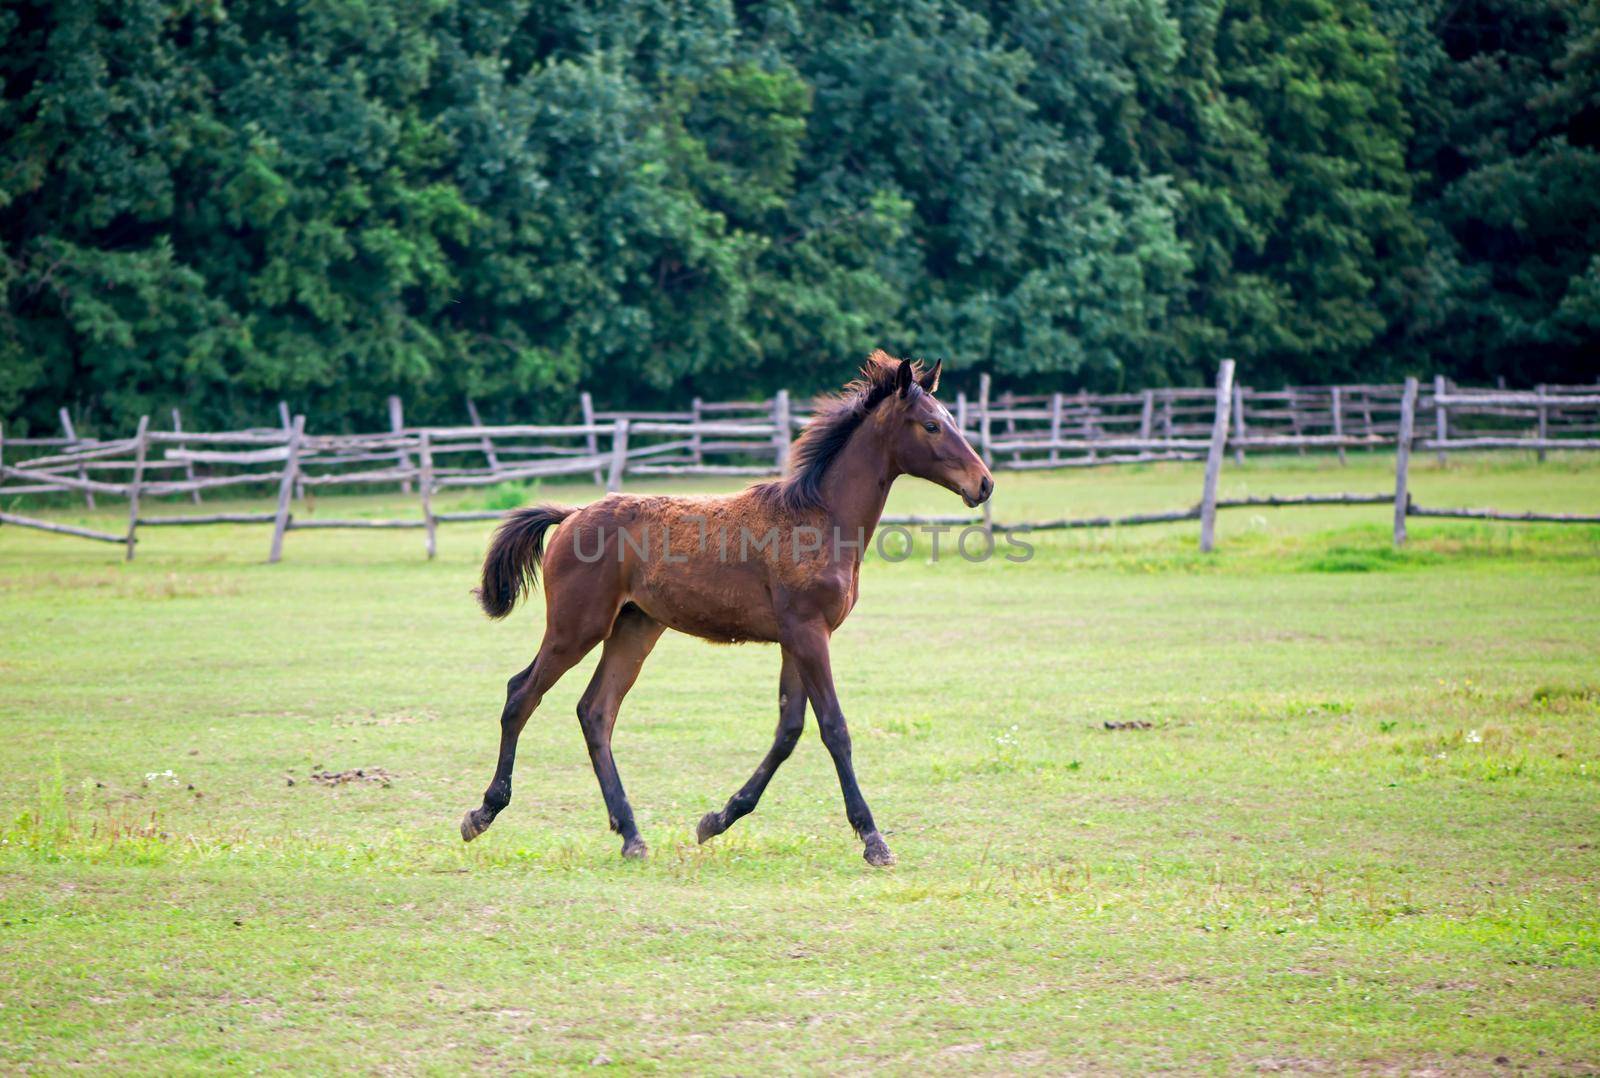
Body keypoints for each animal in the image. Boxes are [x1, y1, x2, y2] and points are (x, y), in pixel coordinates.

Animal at [457, 351, 992, 863]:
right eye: (931, 425)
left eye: (951, 418)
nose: (984, 484)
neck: (821, 519)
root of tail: (571, 516)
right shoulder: (808, 632)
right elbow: (834, 728)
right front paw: (873, 838)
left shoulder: (797, 639)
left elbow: (788, 730)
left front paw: (717, 819)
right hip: (577, 627)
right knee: (522, 694)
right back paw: (483, 813)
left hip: (634, 628)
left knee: (596, 711)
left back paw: (631, 835)